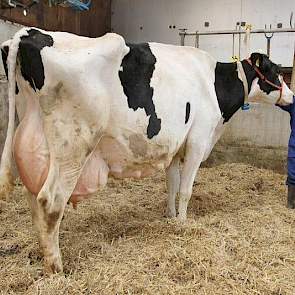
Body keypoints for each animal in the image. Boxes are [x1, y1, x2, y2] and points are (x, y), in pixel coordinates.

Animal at [0, 27, 294, 272]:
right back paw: (56, 268)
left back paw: (42, 254)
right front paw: (183, 224)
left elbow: (172, 186)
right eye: (277, 72)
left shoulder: (176, 147)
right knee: (50, 202)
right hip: (73, 145)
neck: (214, 85)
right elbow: (185, 190)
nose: (292, 96)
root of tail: (29, 33)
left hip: (36, 141)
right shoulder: (198, 140)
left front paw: (171, 218)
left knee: (33, 198)